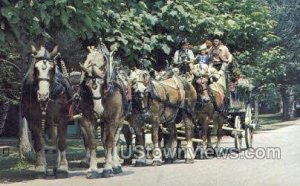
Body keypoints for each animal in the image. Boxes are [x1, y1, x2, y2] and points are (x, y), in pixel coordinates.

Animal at [21, 45, 70, 177]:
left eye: (52, 69)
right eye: (35, 69)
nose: (43, 95)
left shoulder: (62, 119)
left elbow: (62, 142)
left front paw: (63, 167)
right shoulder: (33, 121)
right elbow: (39, 143)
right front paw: (40, 167)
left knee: (56, 141)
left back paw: (58, 166)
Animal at [79, 45, 127, 178]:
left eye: (103, 84)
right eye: (87, 85)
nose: (98, 110)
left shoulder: (112, 119)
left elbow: (110, 142)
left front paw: (108, 168)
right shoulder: (87, 119)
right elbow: (92, 143)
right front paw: (93, 169)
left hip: (120, 121)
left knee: (114, 140)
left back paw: (115, 165)